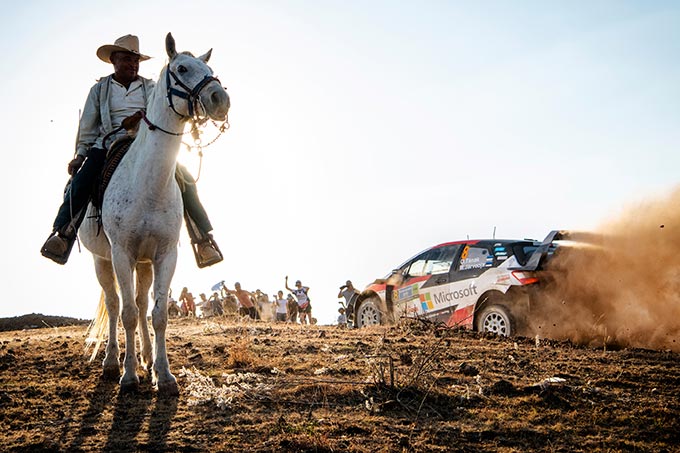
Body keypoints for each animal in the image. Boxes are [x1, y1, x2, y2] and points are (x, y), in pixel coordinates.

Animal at [80, 32, 231, 392]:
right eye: (182, 68)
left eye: (209, 69)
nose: (220, 98)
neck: (148, 183)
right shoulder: (121, 255)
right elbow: (127, 314)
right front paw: (129, 376)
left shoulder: (164, 255)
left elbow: (158, 314)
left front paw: (163, 374)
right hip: (102, 260)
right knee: (116, 304)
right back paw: (112, 362)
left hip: (144, 263)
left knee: (143, 302)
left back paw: (147, 359)